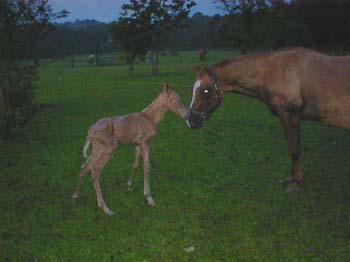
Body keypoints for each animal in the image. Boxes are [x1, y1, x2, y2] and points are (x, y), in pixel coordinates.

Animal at [71, 83, 190, 215]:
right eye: (174, 100)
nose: (187, 114)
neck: (151, 118)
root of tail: (90, 133)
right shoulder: (145, 141)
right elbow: (146, 166)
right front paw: (149, 198)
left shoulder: (136, 143)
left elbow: (135, 163)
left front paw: (129, 183)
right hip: (109, 148)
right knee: (95, 170)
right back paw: (106, 208)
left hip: (96, 149)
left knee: (85, 166)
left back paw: (76, 195)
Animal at [187, 47, 350, 190]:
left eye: (205, 90)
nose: (191, 120)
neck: (273, 71)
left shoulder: (289, 114)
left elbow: (294, 148)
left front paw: (295, 181)